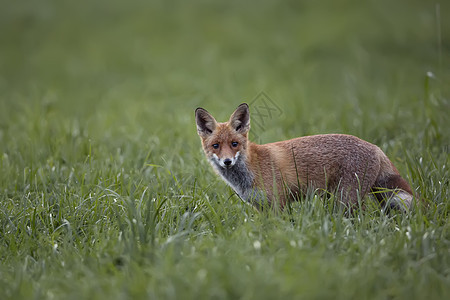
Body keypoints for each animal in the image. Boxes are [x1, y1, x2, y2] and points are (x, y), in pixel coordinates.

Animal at [195, 103, 414, 211]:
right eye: (216, 146)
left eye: (234, 144)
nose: (227, 161)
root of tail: (376, 146)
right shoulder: (261, 208)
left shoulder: (279, 204)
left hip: (345, 200)